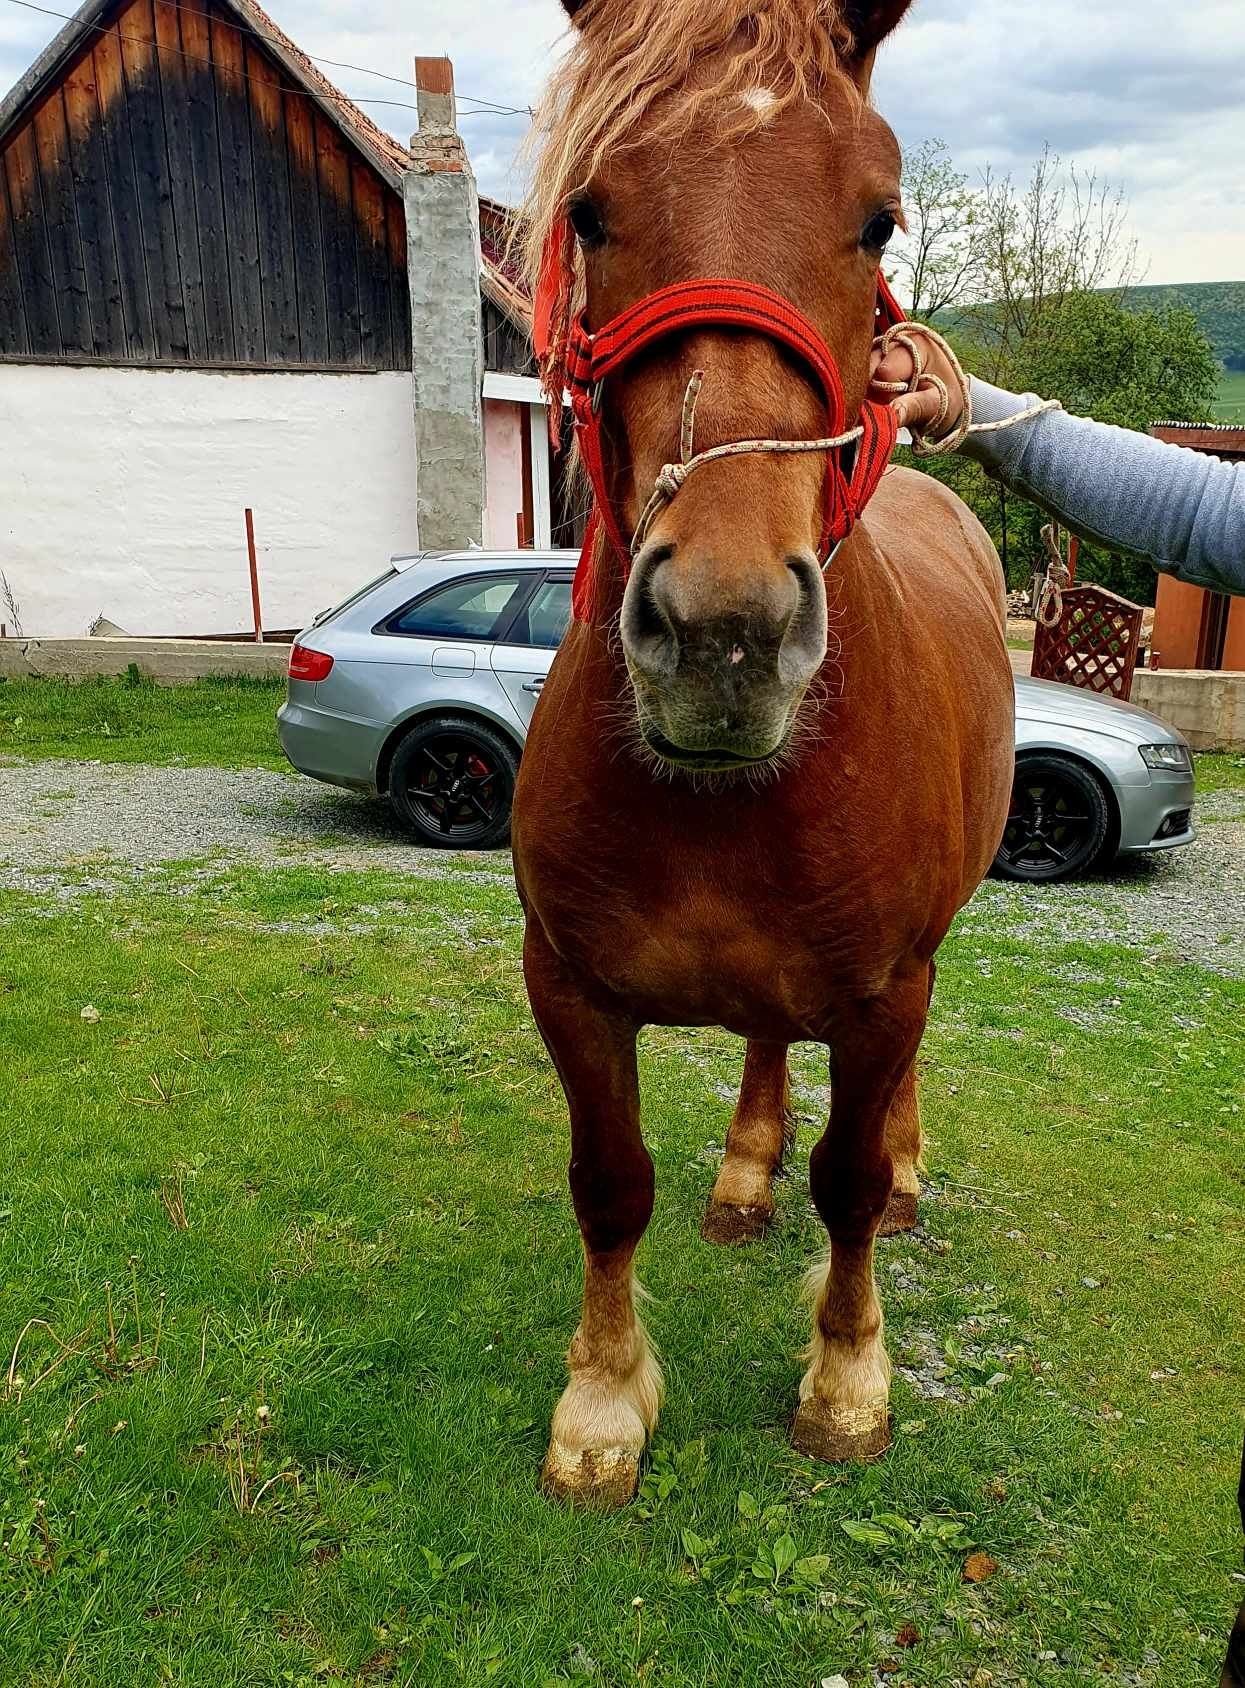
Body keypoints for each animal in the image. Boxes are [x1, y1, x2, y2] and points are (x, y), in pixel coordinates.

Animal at [509, 0, 1012, 1505]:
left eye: (878, 216)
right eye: (593, 210)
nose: (721, 632)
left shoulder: (886, 990)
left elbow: (847, 1180)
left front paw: (848, 1381)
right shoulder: (567, 986)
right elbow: (607, 1182)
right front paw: (603, 1397)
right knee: (765, 1042)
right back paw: (743, 1171)